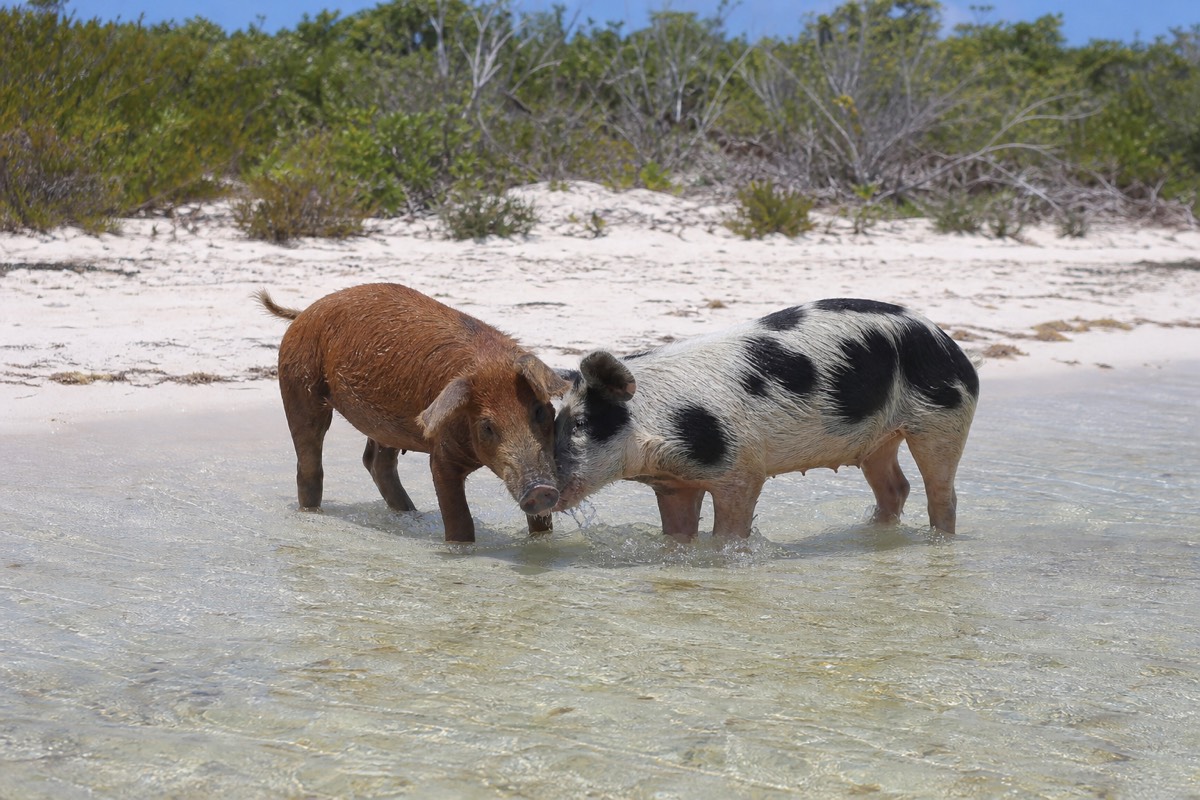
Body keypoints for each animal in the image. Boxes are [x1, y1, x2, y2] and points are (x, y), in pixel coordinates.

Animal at [257, 283, 570, 543]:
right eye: (487, 426)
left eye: (540, 412)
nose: (541, 489)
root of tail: (302, 314)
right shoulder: (441, 453)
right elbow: (457, 518)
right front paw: (460, 548)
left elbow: (541, 524)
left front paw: (542, 543)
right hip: (298, 383)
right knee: (309, 462)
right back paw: (312, 513)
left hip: (381, 425)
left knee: (376, 462)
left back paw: (410, 515)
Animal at [553, 298, 979, 540]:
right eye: (556, 424)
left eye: (581, 424)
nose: (542, 491)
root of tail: (949, 343)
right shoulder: (674, 483)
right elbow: (676, 534)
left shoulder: (741, 470)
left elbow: (730, 531)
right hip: (878, 440)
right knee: (896, 487)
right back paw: (873, 533)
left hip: (943, 417)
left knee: (943, 493)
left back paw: (941, 542)